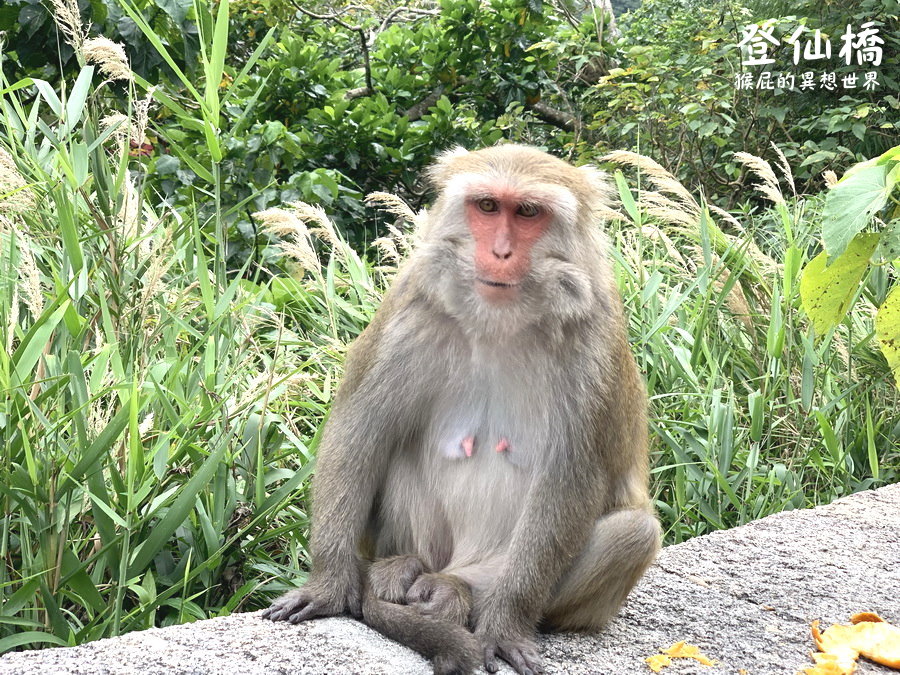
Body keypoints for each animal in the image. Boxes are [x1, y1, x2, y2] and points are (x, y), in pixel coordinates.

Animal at [262, 145, 660, 672]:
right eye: (487, 207)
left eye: (528, 212)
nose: (500, 252)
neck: (498, 322)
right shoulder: (409, 314)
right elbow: (359, 431)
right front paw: (328, 585)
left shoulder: (591, 348)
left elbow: (570, 479)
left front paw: (506, 622)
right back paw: (407, 571)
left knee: (634, 532)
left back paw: (459, 593)